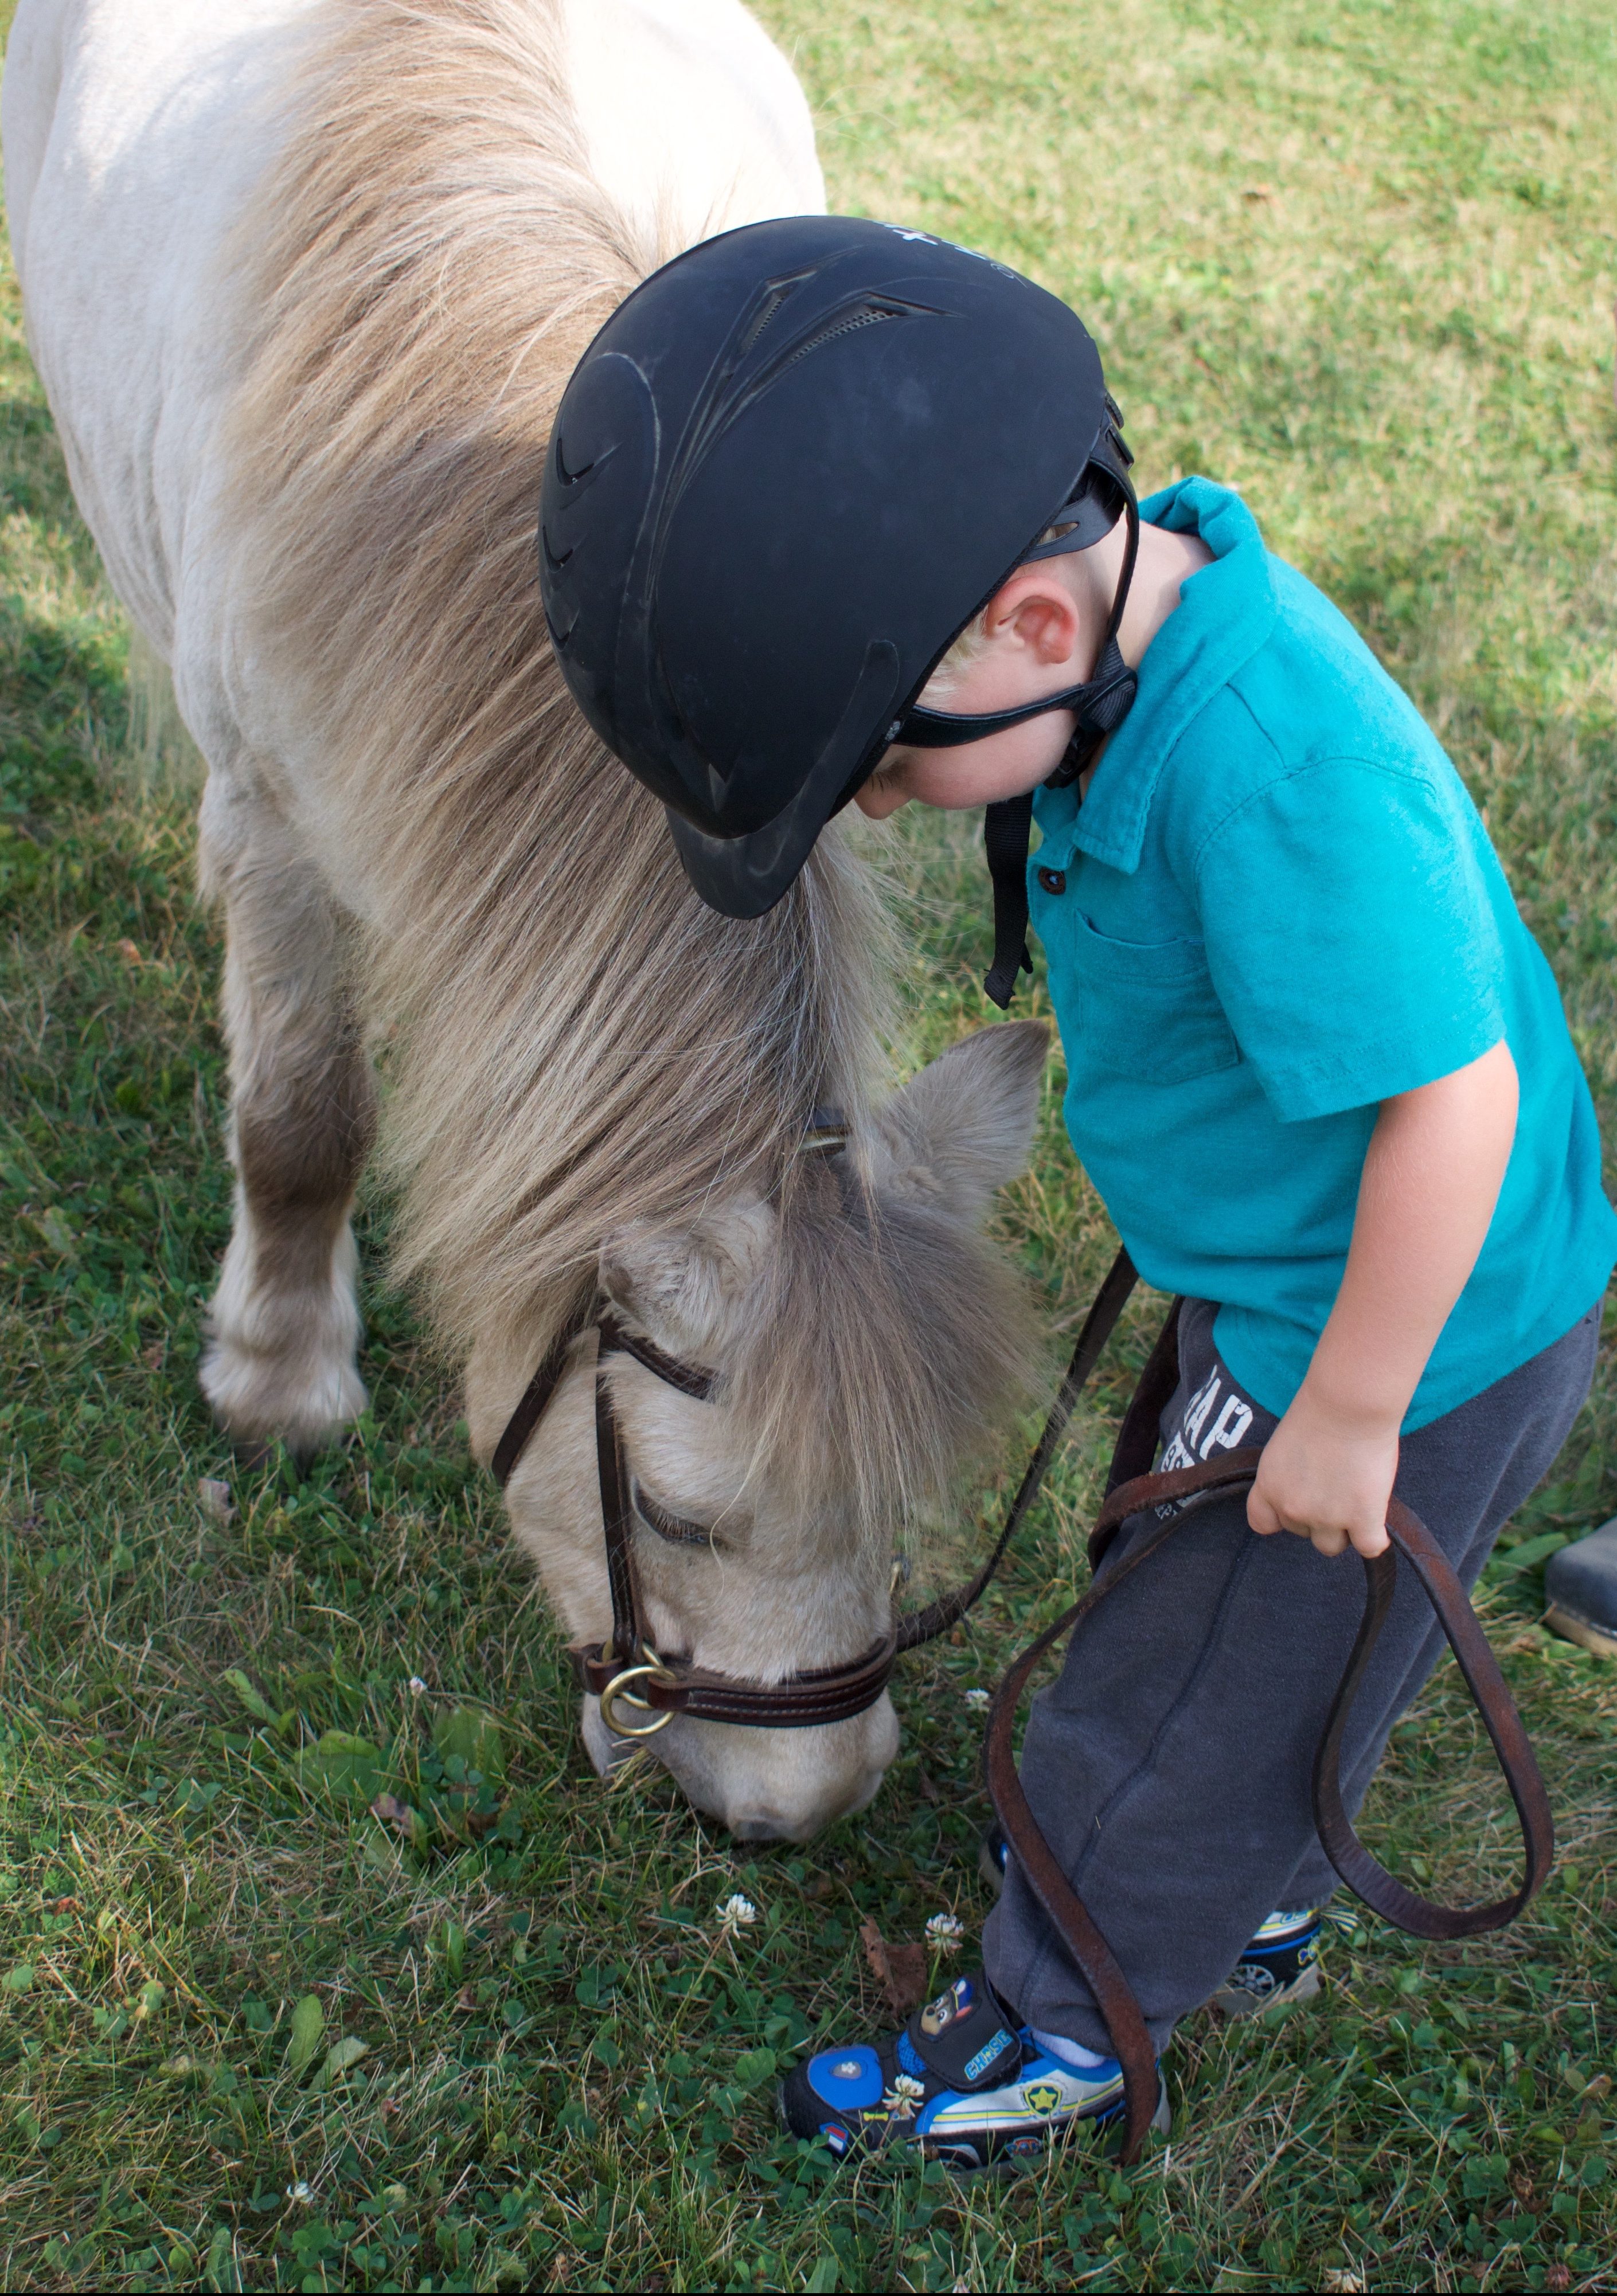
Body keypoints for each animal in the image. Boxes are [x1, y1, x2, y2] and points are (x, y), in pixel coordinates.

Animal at [3, 0, 1047, 1827]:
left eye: (896, 1497)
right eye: (686, 1516)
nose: (806, 1807)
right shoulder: (274, 824)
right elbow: (302, 1119)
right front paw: (279, 1382)